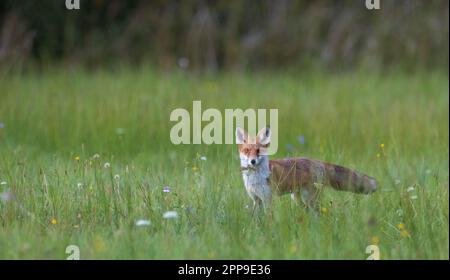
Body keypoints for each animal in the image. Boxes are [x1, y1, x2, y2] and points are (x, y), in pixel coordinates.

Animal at [237, 127, 378, 212]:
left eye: (258, 151)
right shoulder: (256, 200)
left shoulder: (268, 199)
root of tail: (317, 161)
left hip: (309, 199)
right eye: (247, 151)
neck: (255, 178)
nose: (252, 161)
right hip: (298, 198)